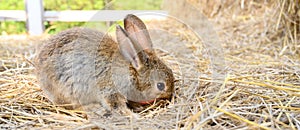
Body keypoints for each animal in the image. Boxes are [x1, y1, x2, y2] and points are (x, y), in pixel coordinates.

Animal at [34, 14, 175, 117]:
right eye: (160, 85)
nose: (169, 97)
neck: (132, 72)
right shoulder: (111, 91)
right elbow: (117, 107)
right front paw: (132, 116)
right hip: (68, 89)